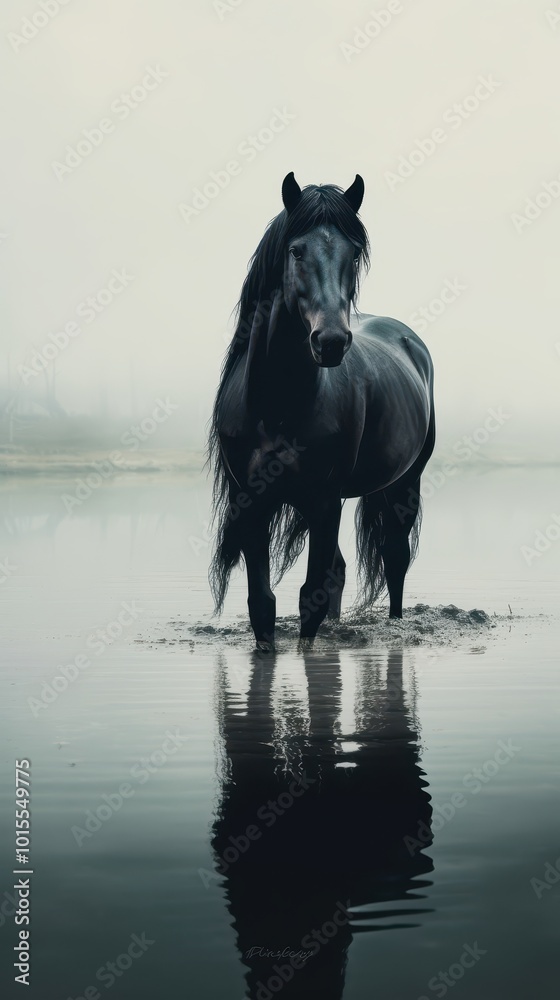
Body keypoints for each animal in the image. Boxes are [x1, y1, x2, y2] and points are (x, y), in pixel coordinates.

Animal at [208, 173, 435, 650]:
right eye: (296, 251)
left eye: (354, 253)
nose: (330, 341)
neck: (275, 407)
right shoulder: (251, 500)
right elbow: (263, 605)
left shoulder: (324, 499)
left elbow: (310, 597)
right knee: (342, 570)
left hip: (405, 483)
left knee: (394, 559)